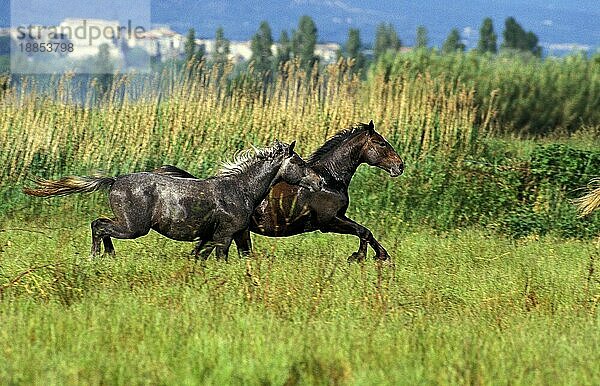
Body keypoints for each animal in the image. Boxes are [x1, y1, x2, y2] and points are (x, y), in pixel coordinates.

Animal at [155, 121, 404, 262]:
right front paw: (368, 257)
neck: (329, 180)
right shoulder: (328, 221)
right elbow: (364, 231)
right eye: (381, 143)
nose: (399, 166)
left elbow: (364, 231)